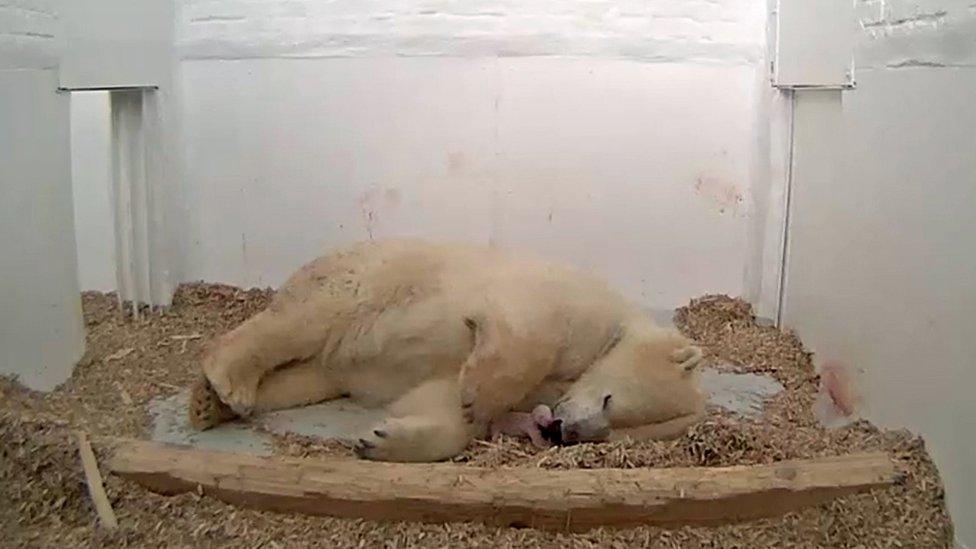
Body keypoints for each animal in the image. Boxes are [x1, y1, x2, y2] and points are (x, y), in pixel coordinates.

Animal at [191, 238, 704, 460]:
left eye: (612, 434)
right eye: (611, 402)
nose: (566, 432)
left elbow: (435, 396)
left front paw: (383, 439)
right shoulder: (567, 302)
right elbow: (523, 329)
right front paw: (479, 394)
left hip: (335, 360)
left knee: (307, 377)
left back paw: (209, 404)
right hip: (364, 285)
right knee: (303, 321)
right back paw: (229, 383)